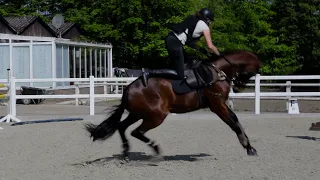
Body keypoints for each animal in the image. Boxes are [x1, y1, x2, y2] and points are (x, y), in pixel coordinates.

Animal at [85, 50, 262, 161]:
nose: (238, 88)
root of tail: (129, 88)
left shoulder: (221, 105)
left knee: (122, 127)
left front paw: (248, 145)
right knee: (136, 131)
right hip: (157, 115)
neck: (216, 73)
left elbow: (235, 120)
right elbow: (233, 122)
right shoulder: (218, 106)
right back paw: (155, 150)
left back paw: (126, 151)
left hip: (138, 113)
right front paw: (248, 147)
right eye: (252, 72)